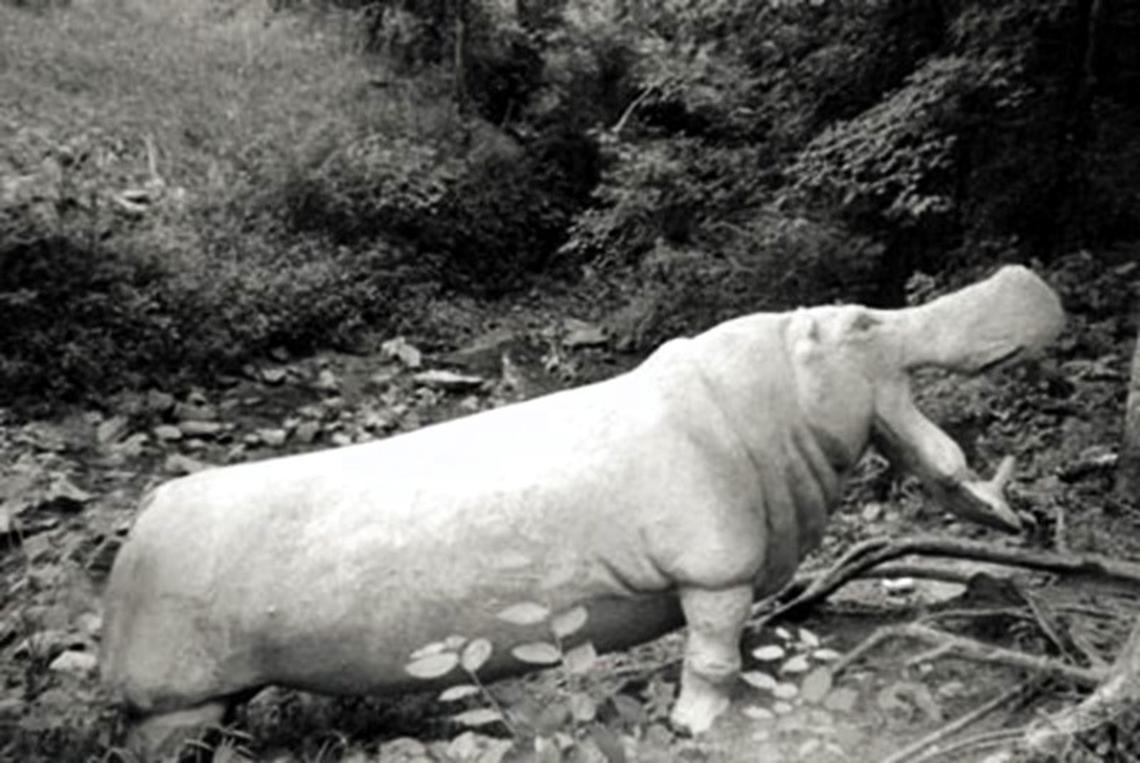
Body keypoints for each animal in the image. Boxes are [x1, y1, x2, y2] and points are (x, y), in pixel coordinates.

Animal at [100, 265, 1064, 757]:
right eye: (866, 321)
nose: (1029, 276)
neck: (777, 399)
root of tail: (137, 524)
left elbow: (741, 641)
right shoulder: (714, 566)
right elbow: (712, 655)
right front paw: (693, 727)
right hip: (175, 699)